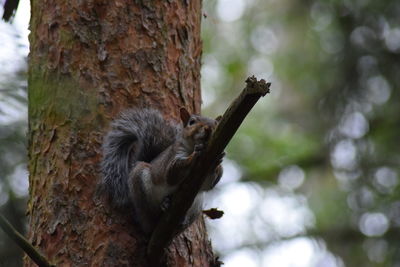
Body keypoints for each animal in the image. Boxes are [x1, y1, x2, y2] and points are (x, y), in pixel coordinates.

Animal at [100, 108, 223, 236]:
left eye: (216, 123)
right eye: (192, 122)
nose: (208, 128)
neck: (191, 147)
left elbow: (208, 185)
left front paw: (216, 163)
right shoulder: (171, 158)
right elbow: (172, 175)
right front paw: (194, 155)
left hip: (197, 204)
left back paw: (181, 220)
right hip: (139, 182)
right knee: (150, 217)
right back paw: (161, 209)